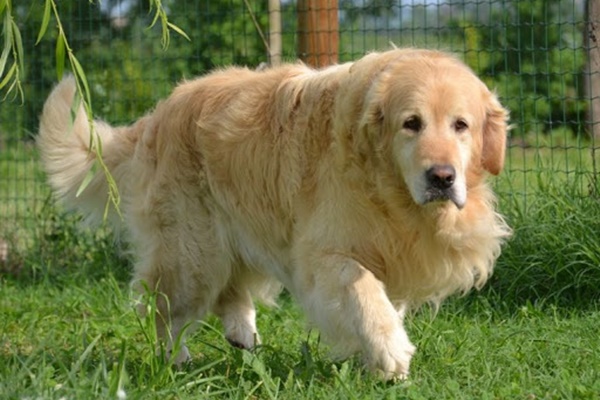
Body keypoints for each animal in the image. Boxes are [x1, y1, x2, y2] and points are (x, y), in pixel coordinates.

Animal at [38, 48, 510, 380]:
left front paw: (376, 354)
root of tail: (160, 112)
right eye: (411, 123)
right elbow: (363, 291)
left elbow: (384, 301)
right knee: (165, 308)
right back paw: (175, 361)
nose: (442, 177)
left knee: (230, 290)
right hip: (194, 253)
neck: (387, 186)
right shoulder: (323, 254)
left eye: (461, 125)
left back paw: (242, 334)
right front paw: (389, 350)